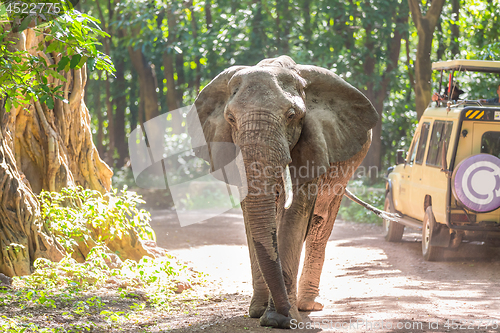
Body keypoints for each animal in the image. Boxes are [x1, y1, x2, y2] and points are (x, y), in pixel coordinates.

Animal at [189, 55, 376, 326]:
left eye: (291, 115)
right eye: (231, 118)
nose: (285, 313)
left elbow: (294, 213)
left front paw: (280, 319)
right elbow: (253, 219)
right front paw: (260, 313)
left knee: (321, 224)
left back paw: (308, 305)